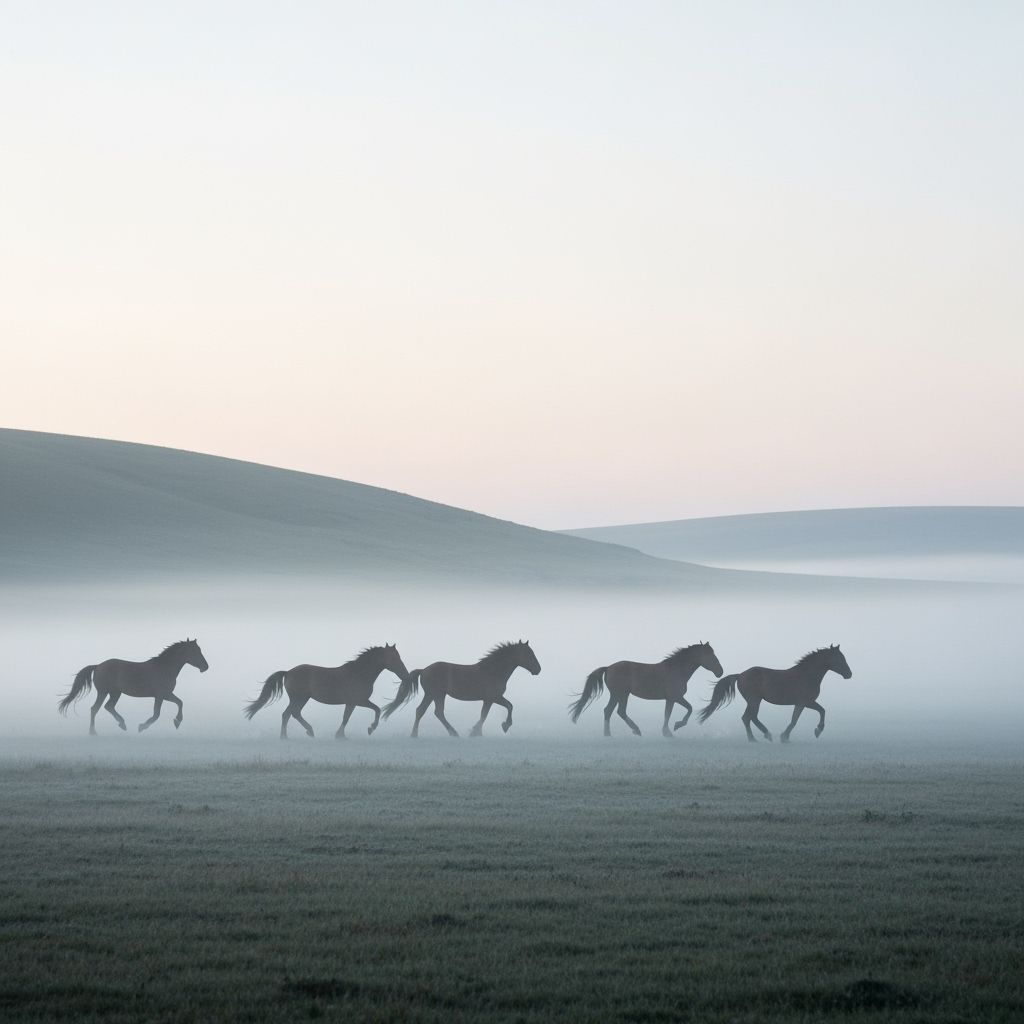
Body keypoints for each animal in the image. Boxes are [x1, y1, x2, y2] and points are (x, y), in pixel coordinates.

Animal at [58, 639, 209, 735]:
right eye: (194, 651)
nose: (205, 667)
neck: (164, 668)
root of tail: (98, 665)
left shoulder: (166, 695)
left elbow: (180, 702)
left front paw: (177, 721)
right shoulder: (161, 695)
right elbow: (157, 714)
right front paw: (142, 727)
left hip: (115, 693)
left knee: (108, 707)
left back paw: (122, 725)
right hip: (104, 692)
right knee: (95, 709)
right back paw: (93, 732)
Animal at [244, 644, 409, 739]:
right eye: (394, 658)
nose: (405, 675)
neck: (358, 673)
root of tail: (288, 672)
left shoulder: (358, 701)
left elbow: (374, 710)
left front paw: (368, 729)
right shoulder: (355, 701)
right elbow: (348, 717)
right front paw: (344, 735)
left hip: (300, 699)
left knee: (289, 714)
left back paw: (291, 735)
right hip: (299, 698)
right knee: (292, 713)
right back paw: (303, 733)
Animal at [381, 640, 541, 737]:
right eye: (529, 654)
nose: (538, 669)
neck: (492, 671)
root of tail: (424, 670)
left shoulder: (489, 699)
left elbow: (491, 712)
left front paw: (477, 732)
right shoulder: (492, 698)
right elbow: (502, 709)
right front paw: (502, 726)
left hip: (434, 695)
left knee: (424, 711)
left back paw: (418, 734)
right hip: (436, 694)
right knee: (434, 712)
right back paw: (451, 733)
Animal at [568, 642, 723, 737]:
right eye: (710, 655)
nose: (720, 672)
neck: (675, 670)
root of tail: (608, 667)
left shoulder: (675, 698)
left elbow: (685, 709)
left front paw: (673, 728)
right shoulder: (674, 698)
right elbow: (673, 713)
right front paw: (671, 730)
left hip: (620, 695)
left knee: (612, 711)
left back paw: (614, 733)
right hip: (620, 694)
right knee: (616, 711)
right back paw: (630, 731)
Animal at [697, 644, 852, 742]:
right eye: (839, 658)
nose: (849, 674)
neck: (806, 675)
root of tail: (740, 675)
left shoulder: (802, 703)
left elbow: (799, 717)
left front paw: (786, 737)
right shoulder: (805, 702)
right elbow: (816, 713)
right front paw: (816, 731)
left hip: (754, 701)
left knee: (748, 717)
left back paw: (760, 736)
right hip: (754, 700)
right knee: (748, 717)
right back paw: (759, 737)